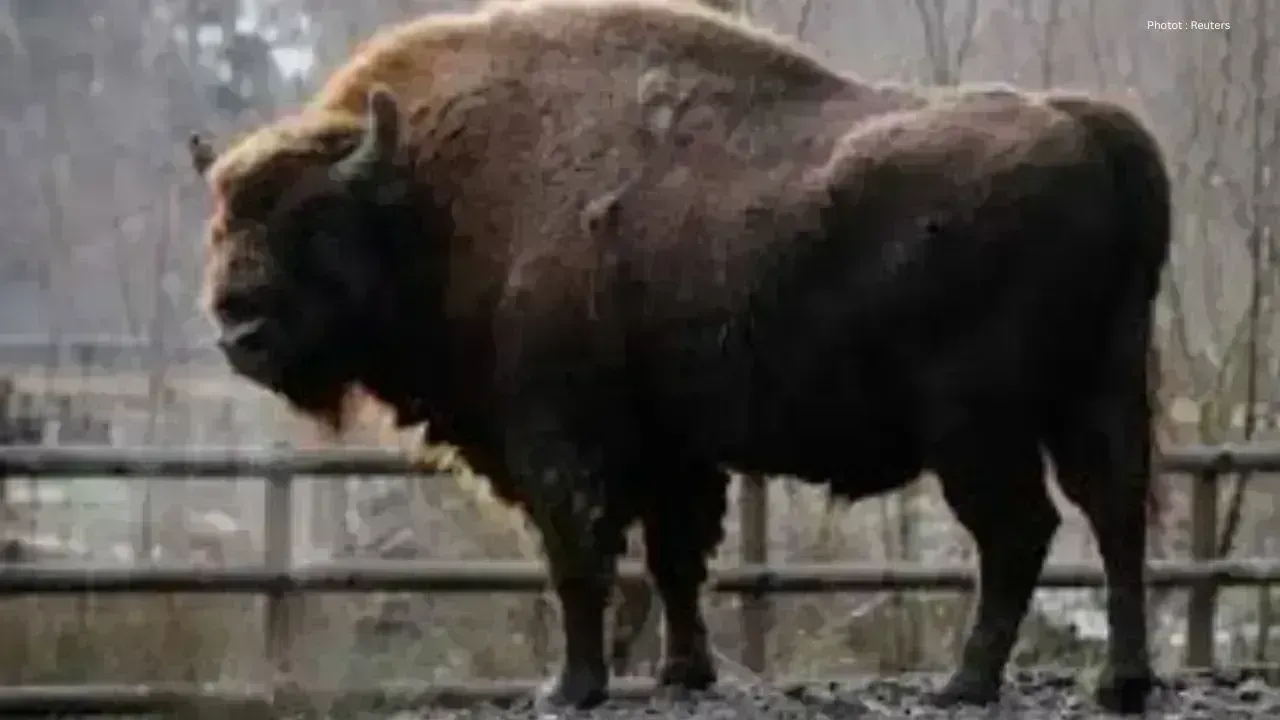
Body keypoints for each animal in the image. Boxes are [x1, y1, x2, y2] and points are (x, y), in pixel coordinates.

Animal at [186, 0, 1171, 714]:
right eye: (223, 222)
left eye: (315, 222)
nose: (239, 326)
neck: (432, 195)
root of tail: (1085, 127)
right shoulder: (672, 451)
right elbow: (674, 558)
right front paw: (683, 672)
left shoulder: (560, 444)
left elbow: (581, 562)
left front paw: (569, 690)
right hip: (1099, 390)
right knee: (1116, 515)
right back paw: (1119, 683)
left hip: (976, 426)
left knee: (1020, 532)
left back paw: (966, 685)